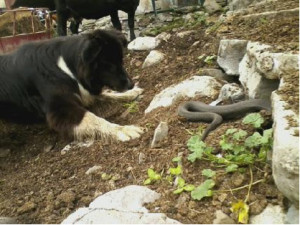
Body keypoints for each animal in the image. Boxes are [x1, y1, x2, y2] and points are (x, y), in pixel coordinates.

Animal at [0, 29, 144, 141]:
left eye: (121, 61)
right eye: (109, 65)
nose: (131, 85)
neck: (65, 67)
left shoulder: (81, 90)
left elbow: (105, 94)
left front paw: (131, 93)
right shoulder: (60, 109)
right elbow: (95, 119)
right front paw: (122, 129)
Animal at [12, 0, 140, 40]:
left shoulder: (133, 6)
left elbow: (130, 23)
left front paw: (132, 38)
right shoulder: (112, 7)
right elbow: (118, 24)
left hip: (75, 13)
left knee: (73, 28)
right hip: (63, 10)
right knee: (62, 31)